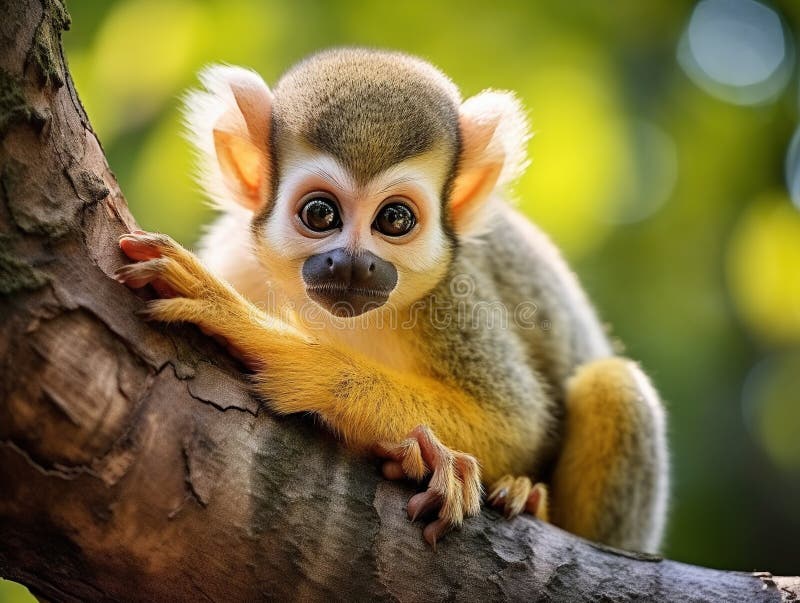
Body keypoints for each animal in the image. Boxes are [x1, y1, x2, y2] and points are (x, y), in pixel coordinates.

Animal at [115, 48, 669, 551]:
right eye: (320, 213)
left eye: (395, 220)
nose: (352, 264)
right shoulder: (238, 257)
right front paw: (420, 458)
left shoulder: (453, 291)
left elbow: (515, 422)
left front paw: (283, 352)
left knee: (613, 384)